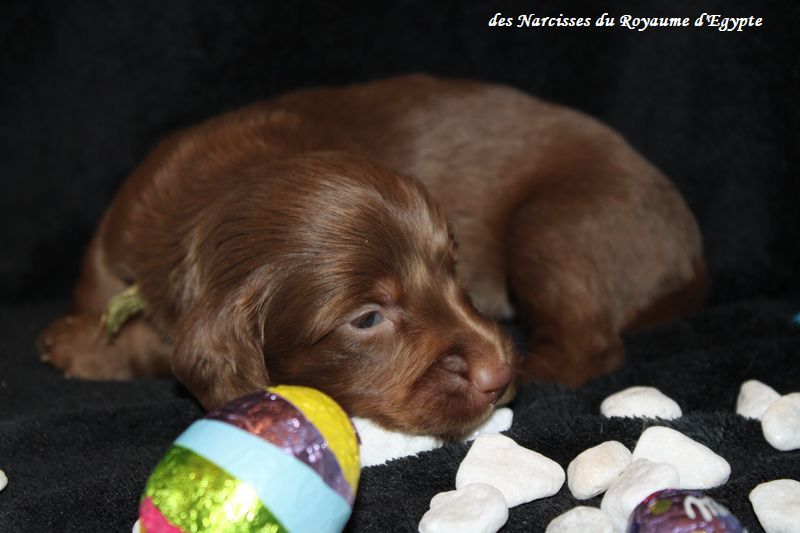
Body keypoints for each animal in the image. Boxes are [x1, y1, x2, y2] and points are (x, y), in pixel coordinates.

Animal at [39, 75, 706, 439]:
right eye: (366, 318)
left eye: (452, 266)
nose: (497, 375)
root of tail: (691, 256)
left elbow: (158, 344)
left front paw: (77, 346)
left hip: (552, 224)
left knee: (590, 344)